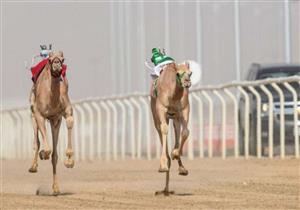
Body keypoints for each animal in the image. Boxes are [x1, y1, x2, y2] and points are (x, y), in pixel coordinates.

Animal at [28, 50, 74, 195]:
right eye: (49, 59)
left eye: (63, 59)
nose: (57, 64)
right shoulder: (39, 113)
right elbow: (45, 146)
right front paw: (43, 154)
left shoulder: (59, 116)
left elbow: (70, 120)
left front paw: (69, 161)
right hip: (32, 114)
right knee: (36, 141)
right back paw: (33, 167)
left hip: (54, 121)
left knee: (54, 155)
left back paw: (56, 188)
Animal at [150, 60, 192, 195]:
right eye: (178, 73)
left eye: (190, 73)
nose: (187, 82)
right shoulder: (161, 108)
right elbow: (164, 129)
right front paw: (163, 165)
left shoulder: (184, 110)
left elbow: (186, 132)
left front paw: (176, 154)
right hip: (155, 115)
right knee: (160, 130)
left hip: (175, 117)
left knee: (177, 131)